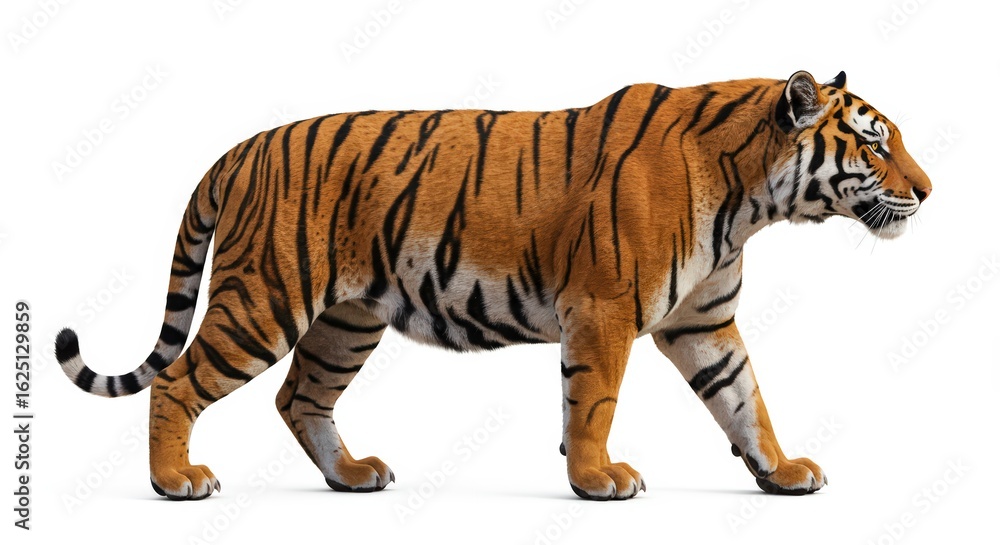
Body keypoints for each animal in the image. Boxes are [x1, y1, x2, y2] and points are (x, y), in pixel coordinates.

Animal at [55, 70, 931, 501]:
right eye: (875, 144)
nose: (928, 190)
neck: (750, 198)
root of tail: (239, 149)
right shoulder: (604, 310)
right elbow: (594, 400)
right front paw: (597, 478)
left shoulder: (703, 322)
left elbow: (747, 400)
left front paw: (781, 472)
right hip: (262, 300)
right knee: (177, 381)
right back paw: (175, 481)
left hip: (347, 319)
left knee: (299, 396)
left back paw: (352, 475)